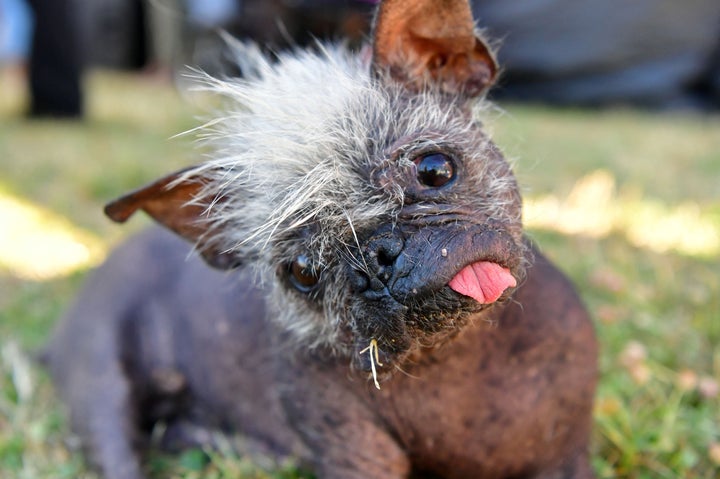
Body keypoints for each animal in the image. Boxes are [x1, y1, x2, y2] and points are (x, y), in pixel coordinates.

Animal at [43, 1, 596, 478]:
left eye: (435, 170)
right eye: (303, 272)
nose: (378, 257)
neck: (454, 359)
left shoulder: (567, 460)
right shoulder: (355, 456)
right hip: (100, 380)